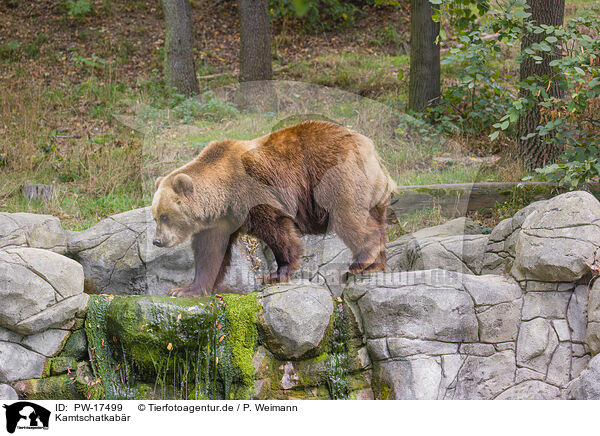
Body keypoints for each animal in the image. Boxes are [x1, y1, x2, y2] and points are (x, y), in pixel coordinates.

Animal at [154, 120, 398, 296]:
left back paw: (360, 261)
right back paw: (374, 264)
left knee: (349, 217)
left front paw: (277, 274)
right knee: (375, 220)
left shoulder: (255, 192)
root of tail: (368, 146)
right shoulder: (220, 221)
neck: (223, 195)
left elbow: (277, 230)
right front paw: (185, 289)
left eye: (165, 216)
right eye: (156, 216)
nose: (157, 241)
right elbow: (211, 252)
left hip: (336, 177)